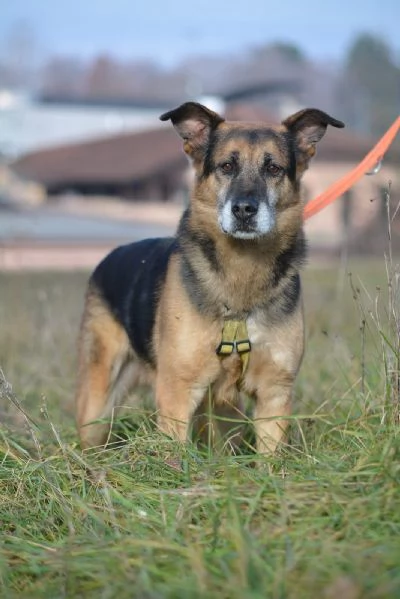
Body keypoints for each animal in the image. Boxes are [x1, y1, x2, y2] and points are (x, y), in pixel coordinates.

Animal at [75, 99, 344, 454]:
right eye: (226, 166)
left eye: (273, 169)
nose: (244, 210)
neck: (242, 274)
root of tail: (110, 255)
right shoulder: (177, 394)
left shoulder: (274, 394)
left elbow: (270, 458)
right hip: (99, 401)